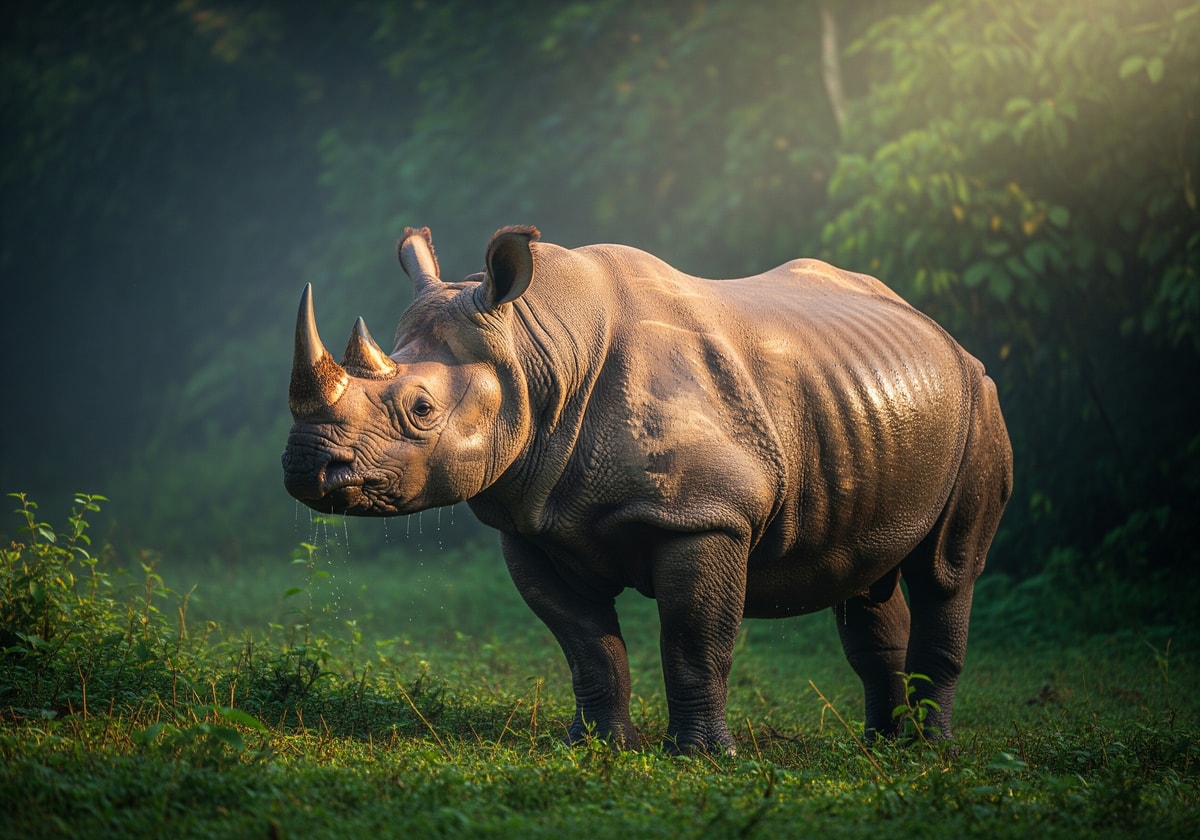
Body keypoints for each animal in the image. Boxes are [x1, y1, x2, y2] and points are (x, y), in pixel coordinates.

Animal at [282, 225, 1012, 753]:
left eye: (422, 409)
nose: (303, 467)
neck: (537, 350)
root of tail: (937, 329)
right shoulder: (532, 522)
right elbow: (586, 644)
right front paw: (599, 747)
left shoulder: (704, 513)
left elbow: (694, 640)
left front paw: (702, 757)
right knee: (867, 578)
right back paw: (880, 747)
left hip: (979, 400)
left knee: (947, 571)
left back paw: (930, 752)